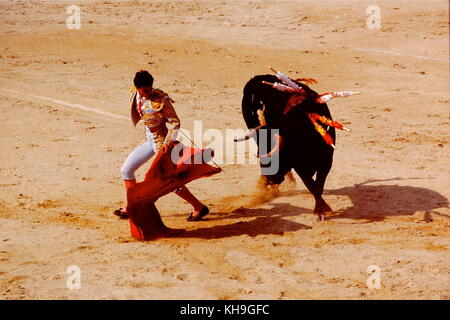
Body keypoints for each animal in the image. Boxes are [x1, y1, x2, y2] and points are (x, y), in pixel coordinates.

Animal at [243, 74, 334, 220]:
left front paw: (322, 210)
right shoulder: (299, 166)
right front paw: (321, 210)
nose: (270, 181)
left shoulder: (326, 162)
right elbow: (312, 185)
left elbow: (318, 185)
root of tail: (259, 78)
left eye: (277, 159)